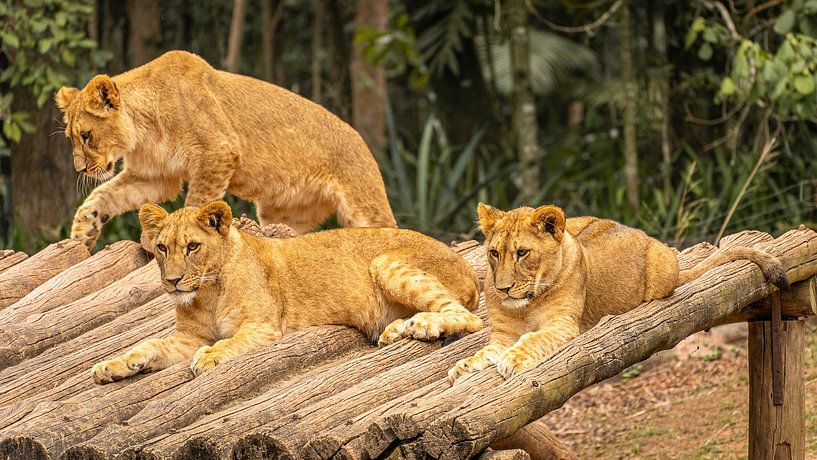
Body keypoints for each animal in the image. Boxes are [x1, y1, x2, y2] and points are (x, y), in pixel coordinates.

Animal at [56, 50, 395, 249]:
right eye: (71, 138)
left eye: (86, 136)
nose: (79, 169)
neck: (144, 131)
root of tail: (364, 143)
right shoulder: (156, 176)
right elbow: (103, 195)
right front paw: (82, 233)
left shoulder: (217, 151)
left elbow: (196, 203)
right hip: (281, 215)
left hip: (364, 204)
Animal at [91, 201, 482, 384]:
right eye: (161, 248)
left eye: (192, 247)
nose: (172, 281)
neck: (206, 293)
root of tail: (466, 268)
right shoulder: (187, 337)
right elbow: (148, 345)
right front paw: (111, 365)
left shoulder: (263, 327)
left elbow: (229, 342)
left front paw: (210, 356)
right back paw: (398, 329)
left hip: (386, 262)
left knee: (469, 318)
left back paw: (423, 326)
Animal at [448, 203, 789, 382]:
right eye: (494, 253)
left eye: (522, 253)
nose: (502, 288)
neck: (525, 305)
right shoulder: (502, 334)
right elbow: (486, 351)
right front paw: (464, 365)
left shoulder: (563, 326)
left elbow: (533, 338)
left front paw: (513, 359)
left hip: (662, 266)